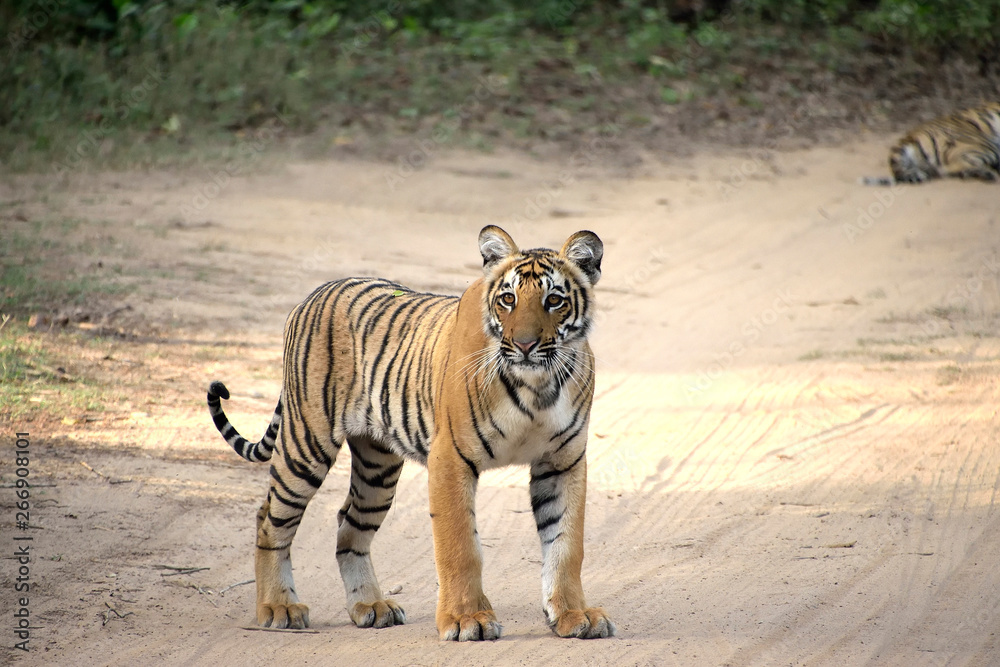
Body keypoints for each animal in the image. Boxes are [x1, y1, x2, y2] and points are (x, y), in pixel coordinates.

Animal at [205, 225, 616, 641]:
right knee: (270, 519)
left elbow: (565, 545)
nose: (525, 344)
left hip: (378, 469)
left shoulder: (562, 461)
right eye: (508, 299)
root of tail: (314, 294)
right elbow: (460, 546)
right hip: (306, 444)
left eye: (554, 300)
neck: (538, 384)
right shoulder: (451, 457)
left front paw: (573, 614)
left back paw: (370, 606)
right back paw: (278, 608)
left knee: (349, 527)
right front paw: (467, 620)